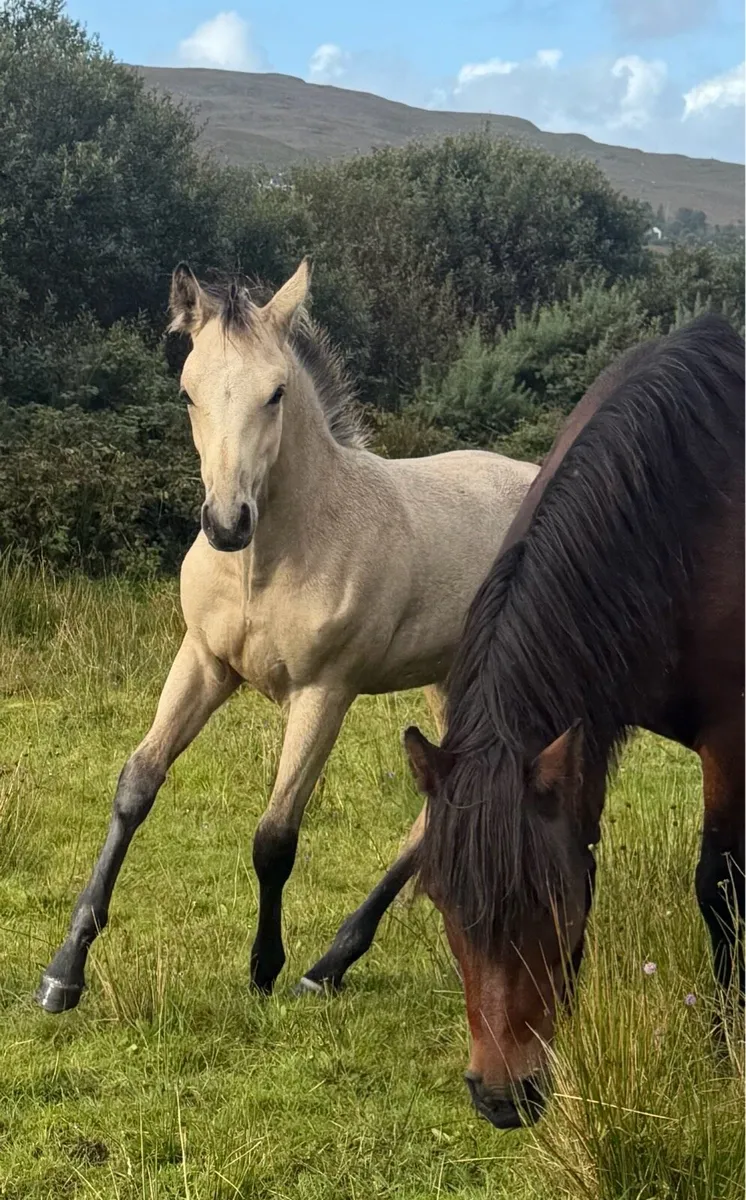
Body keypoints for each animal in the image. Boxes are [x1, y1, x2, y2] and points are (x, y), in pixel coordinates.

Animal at [36, 261, 538, 1014]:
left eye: (275, 393)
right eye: (187, 391)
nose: (226, 522)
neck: (272, 559)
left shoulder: (324, 692)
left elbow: (275, 835)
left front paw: (263, 969)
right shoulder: (203, 661)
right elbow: (136, 786)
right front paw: (64, 972)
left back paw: (332, 964)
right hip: (450, 680)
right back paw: (334, 962)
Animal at [404, 314, 744, 1130]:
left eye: (546, 900)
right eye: (444, 902)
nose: (503, 1096)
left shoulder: (732, 736)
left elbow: (718, 888)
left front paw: (725, 1045)